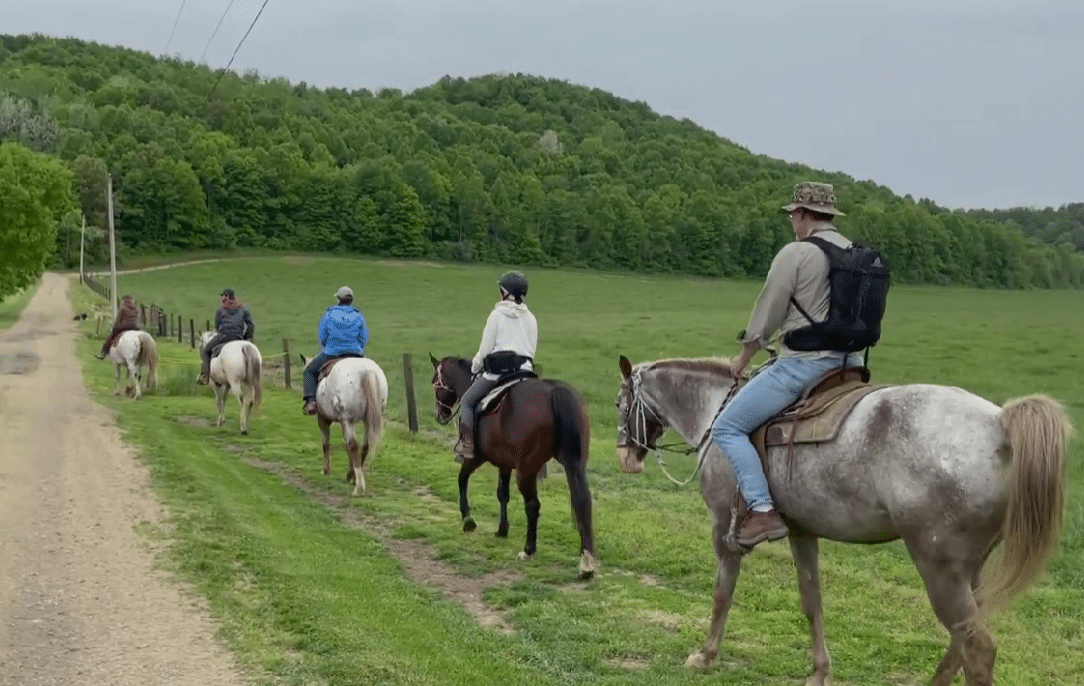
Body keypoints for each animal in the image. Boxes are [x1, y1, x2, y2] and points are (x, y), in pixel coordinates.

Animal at [299, 353, 388, 492]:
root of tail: (366, 371)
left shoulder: (323, 419)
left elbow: (326, 444)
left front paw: (326, 470)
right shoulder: (343, 423)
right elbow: (346, 445)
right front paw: (349, 474)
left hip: (348, 420)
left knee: (353, 446)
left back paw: (359, 487)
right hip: (366, 420)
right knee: (364, 446)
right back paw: (355, 479)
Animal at [427, 353, 598, 576]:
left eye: (435, 382)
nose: (440, 414)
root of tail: (555, 392)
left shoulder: (475, 458)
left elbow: (462, 480)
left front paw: (468, 520)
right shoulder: (504, 463)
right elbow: (503, 494)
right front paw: (502, 529)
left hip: (526, 469)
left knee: (533, 505)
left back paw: (529, 550)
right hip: (574, 464)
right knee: (582, 501)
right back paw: (586, 562)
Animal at [615, 353, 1070, 684]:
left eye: (621, 403)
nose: (626, 457)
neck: (716, 414)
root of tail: (1000, 422)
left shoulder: (722, 531)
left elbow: (721, 593)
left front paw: (706, 656)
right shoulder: (801, 532)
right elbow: (811, 601)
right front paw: (819, 672)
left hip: (939, 567)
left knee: (977, 648)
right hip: (970, 571)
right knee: (964, 640)